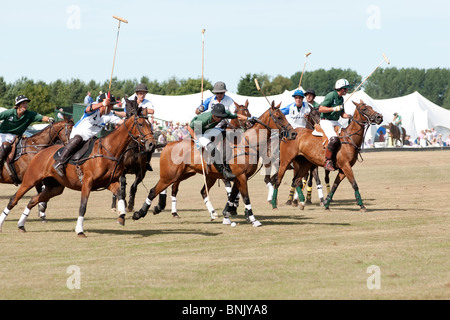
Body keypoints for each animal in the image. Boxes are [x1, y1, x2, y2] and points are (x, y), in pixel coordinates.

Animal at [0, 111, 155, 236]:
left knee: (33, 200)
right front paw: (79, 230)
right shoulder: (87, 183)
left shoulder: (111, 182)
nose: (151, 144)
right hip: (30, 180)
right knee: (14, 199)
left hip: (55, 188)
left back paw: (21, 225)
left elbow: (120, 195)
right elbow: (83, 206)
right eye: (140, 124)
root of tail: (40, 151)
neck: (108, 150)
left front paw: (121, 216)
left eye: (150, 124)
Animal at [132, 101, 298, 226]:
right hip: (169, 175)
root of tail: (167, 145)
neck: (247, 143)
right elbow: (245, 198)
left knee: (199, 192)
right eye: (279, 117)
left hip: (188, 175)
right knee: (154, 190)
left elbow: (232, 197)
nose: (293, 133)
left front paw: (227, 215)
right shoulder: (241, 176)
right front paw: (253, 219)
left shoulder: (237, 177)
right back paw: (139, 213)